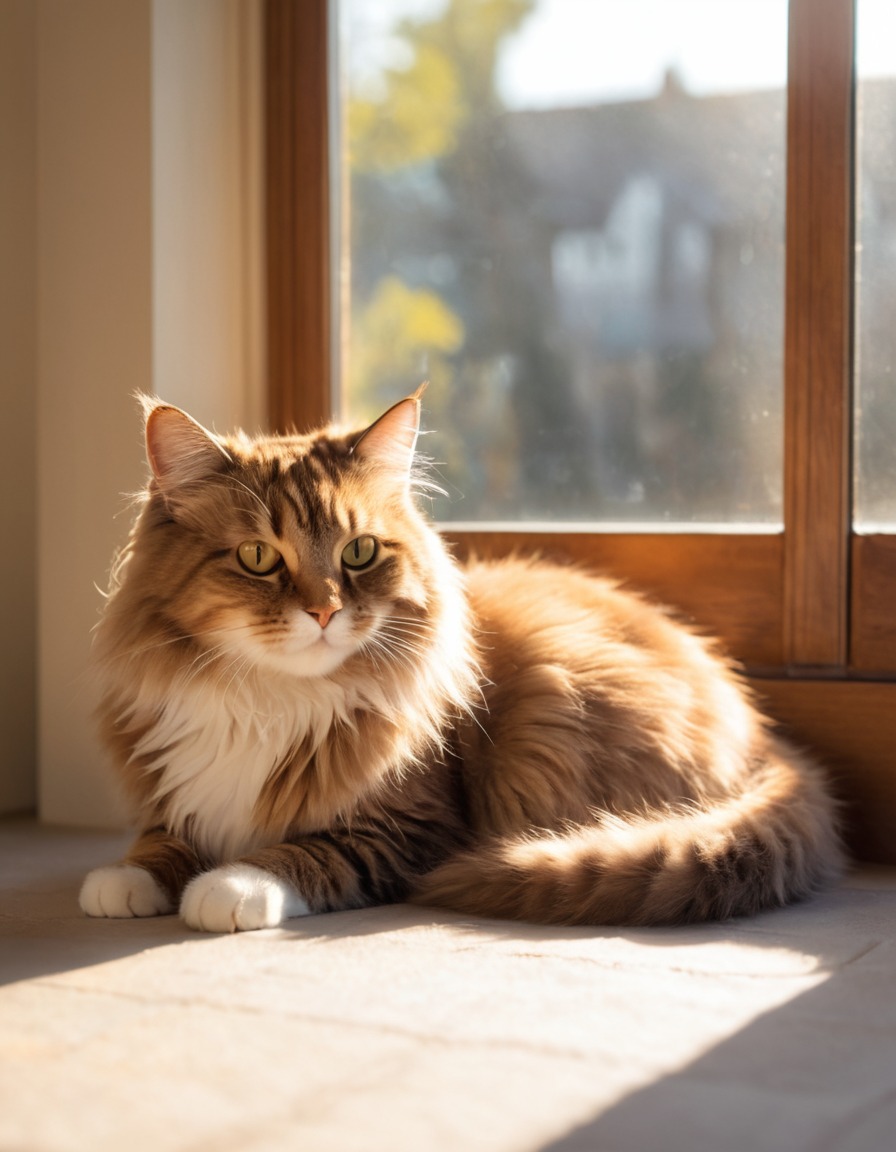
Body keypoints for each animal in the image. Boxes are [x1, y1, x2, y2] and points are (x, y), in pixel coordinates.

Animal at [80, 391, 843, 930]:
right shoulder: (173, 784)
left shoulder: (408, 826)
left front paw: (227, 886)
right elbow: (158, 841)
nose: (325, 612)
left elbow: (301, 854)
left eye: (359, 552)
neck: (267, 699)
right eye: (258, 558)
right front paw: (125, 881)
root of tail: (764, 737)